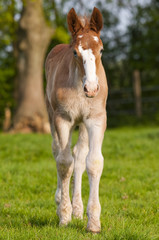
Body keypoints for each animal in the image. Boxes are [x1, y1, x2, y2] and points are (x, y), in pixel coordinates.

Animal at [45, 7, 108, 232]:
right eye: (75, 52)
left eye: (101, 50)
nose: (91, 88)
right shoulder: (63, 119)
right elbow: (64, 163)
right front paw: (64, 216)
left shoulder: (96, 120)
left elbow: (94, 162)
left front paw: (93, 222)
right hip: (52, 117)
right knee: (58, 152)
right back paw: (60, 204)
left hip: (81, 125)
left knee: (79, 158)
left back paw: (78, 209)